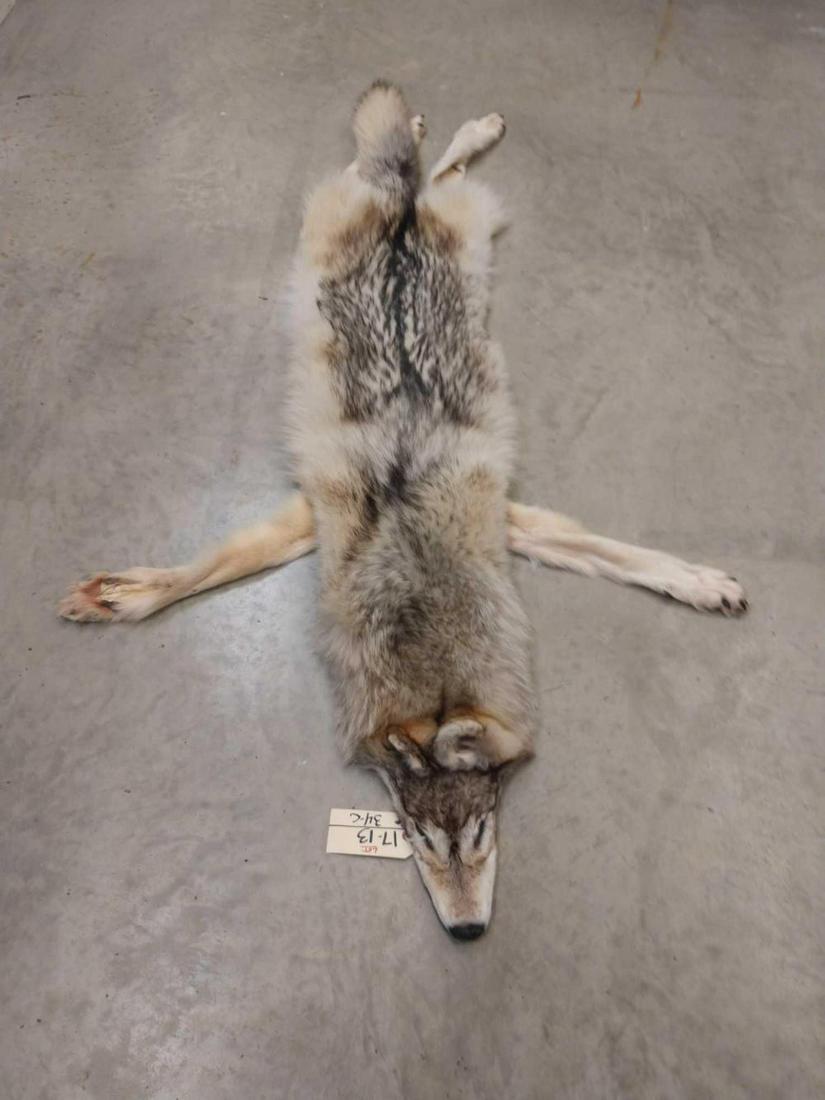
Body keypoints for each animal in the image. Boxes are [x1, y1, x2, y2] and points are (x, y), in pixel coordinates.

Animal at [60, 82, 747, 940]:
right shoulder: (315, 516)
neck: (415, 573)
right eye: (418, 841)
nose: (467, 933)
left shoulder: (497, 513)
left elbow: (618, 553)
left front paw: (699, 582)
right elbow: (214, 565)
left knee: (425, 168)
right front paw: (126, 595)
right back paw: (433, 132)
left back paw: (451, 130)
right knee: (409, 166)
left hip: (461, 221)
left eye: (480, 834)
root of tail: (398, 214)